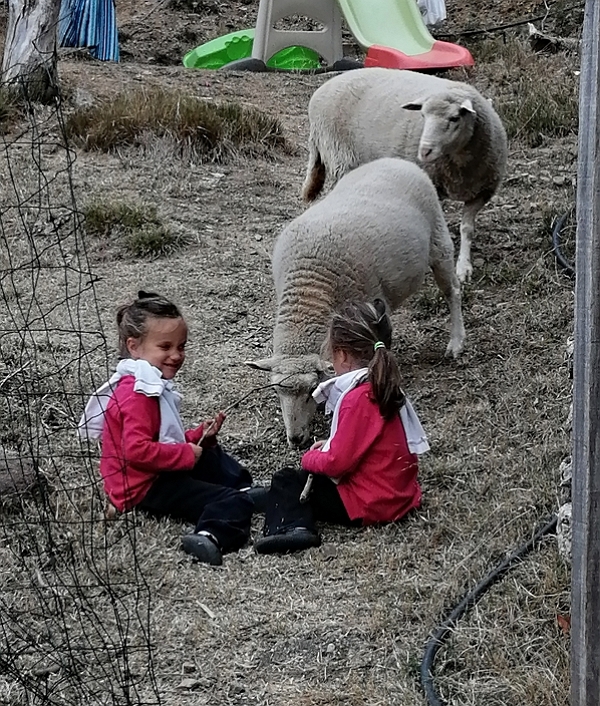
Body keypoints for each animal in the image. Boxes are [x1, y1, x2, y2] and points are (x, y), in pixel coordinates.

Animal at [247, 159, 464, 446]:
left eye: (310, 389)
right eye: (277, 392)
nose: (295, 439)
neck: (309, 290)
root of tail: (397, 160)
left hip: (439, 242)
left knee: (453, 292)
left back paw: (456, 342)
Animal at [304, 66, 506, 284]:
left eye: (454, 118)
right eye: (423, 116)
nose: (424, 151)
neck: (459, 160)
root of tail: (321, 89)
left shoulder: (482, 191)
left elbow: (467, 229)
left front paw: (464, 267)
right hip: (339, 157)